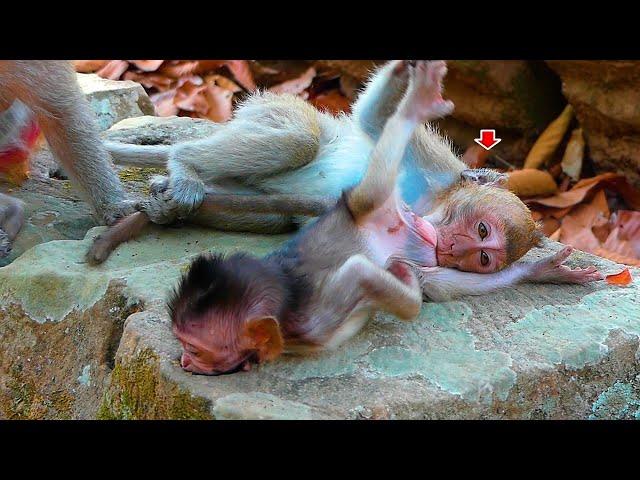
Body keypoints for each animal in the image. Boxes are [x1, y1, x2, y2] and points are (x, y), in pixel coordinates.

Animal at [162, 61, 604, 376]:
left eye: (483, 257)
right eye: (481, 229)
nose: (454, 247)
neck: (432, 207)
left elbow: (433, 284)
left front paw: (543, 272)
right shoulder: (439, 170)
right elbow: (372, 121)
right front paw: (407, 75)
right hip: (275, 110)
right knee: (300, 140)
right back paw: (182, 167)